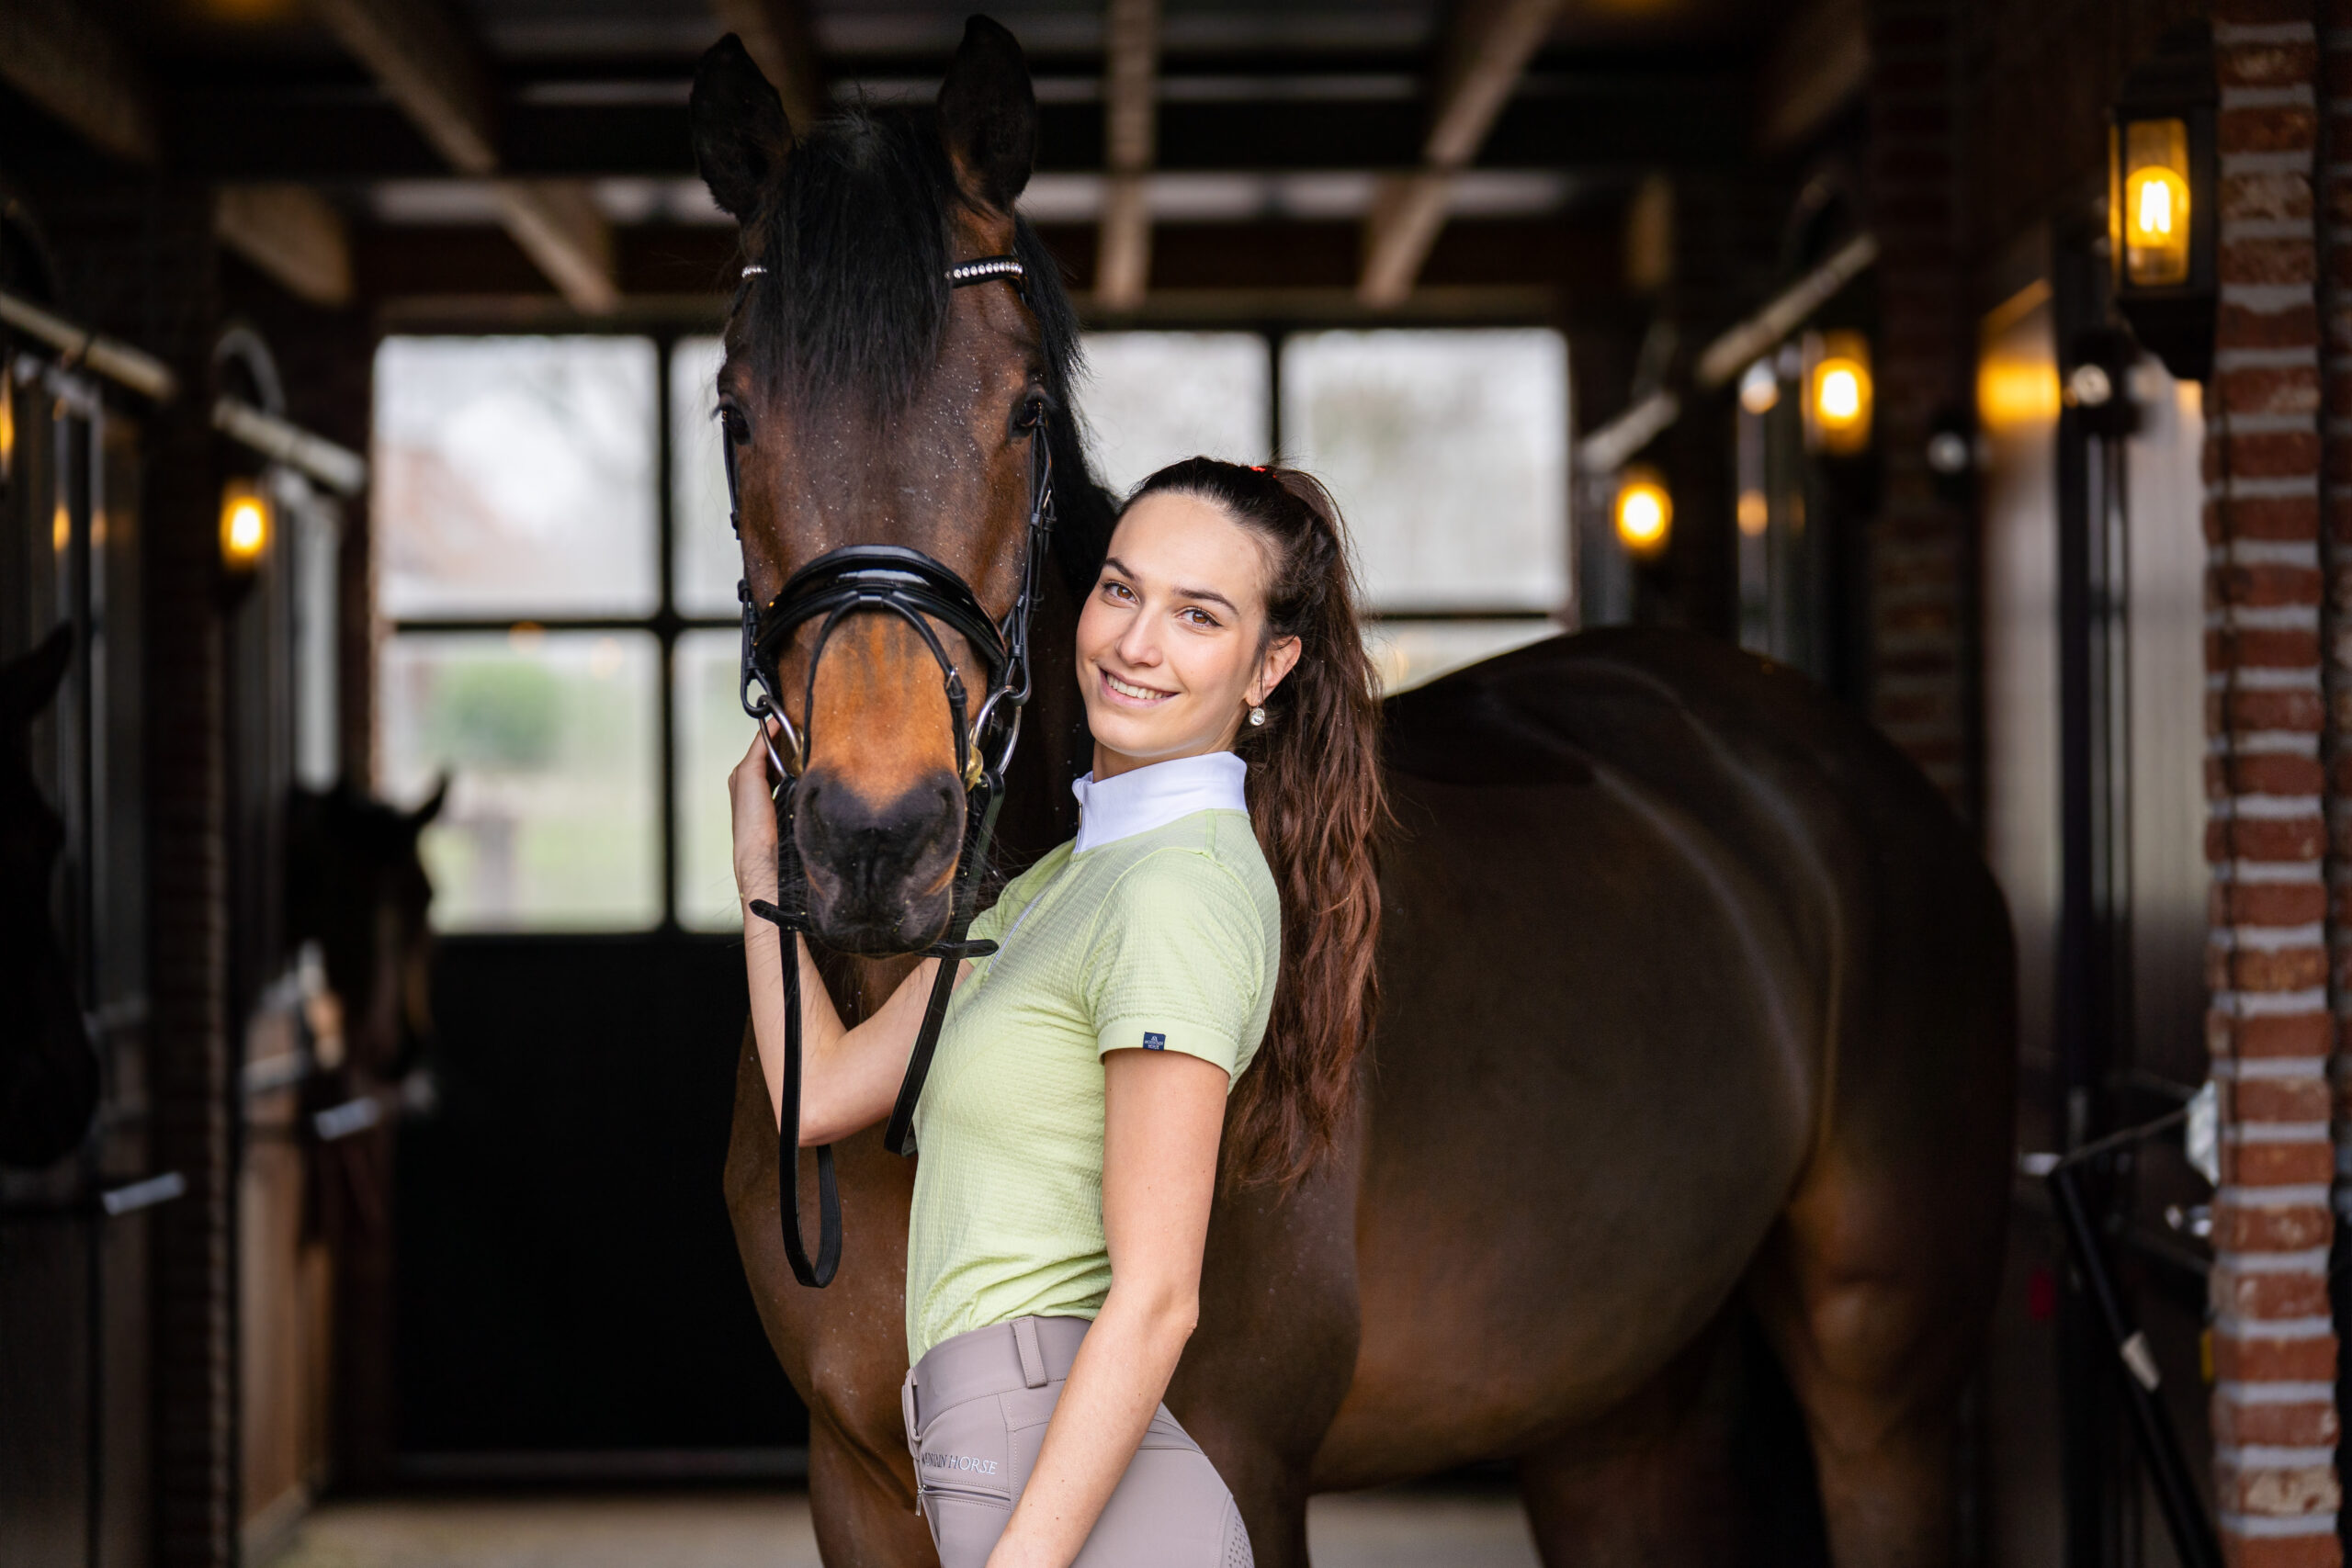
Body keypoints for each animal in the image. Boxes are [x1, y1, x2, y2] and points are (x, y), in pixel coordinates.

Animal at [691, 21, 2014, 1565]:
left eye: (1021, 411)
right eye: (734, 415)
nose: (875, 839)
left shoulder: (1241, 1464)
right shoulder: (858, 1482)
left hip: (1881, 1379)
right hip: (1619, 1406)